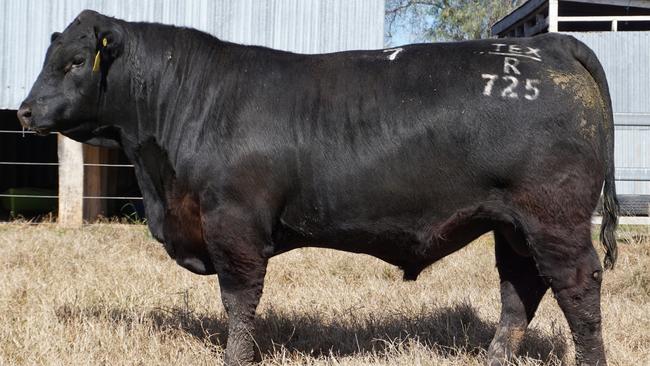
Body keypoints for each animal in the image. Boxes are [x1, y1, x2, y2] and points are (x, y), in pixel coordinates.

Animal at [19, 10, 616, 366]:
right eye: (49, 57)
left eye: (76, 61)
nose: (24, 110)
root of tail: (549, 44)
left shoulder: (233, 222)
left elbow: (239, 299)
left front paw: (236, 357)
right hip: (512, 224)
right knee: (520, 290)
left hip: (553, 216)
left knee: (577, 286)